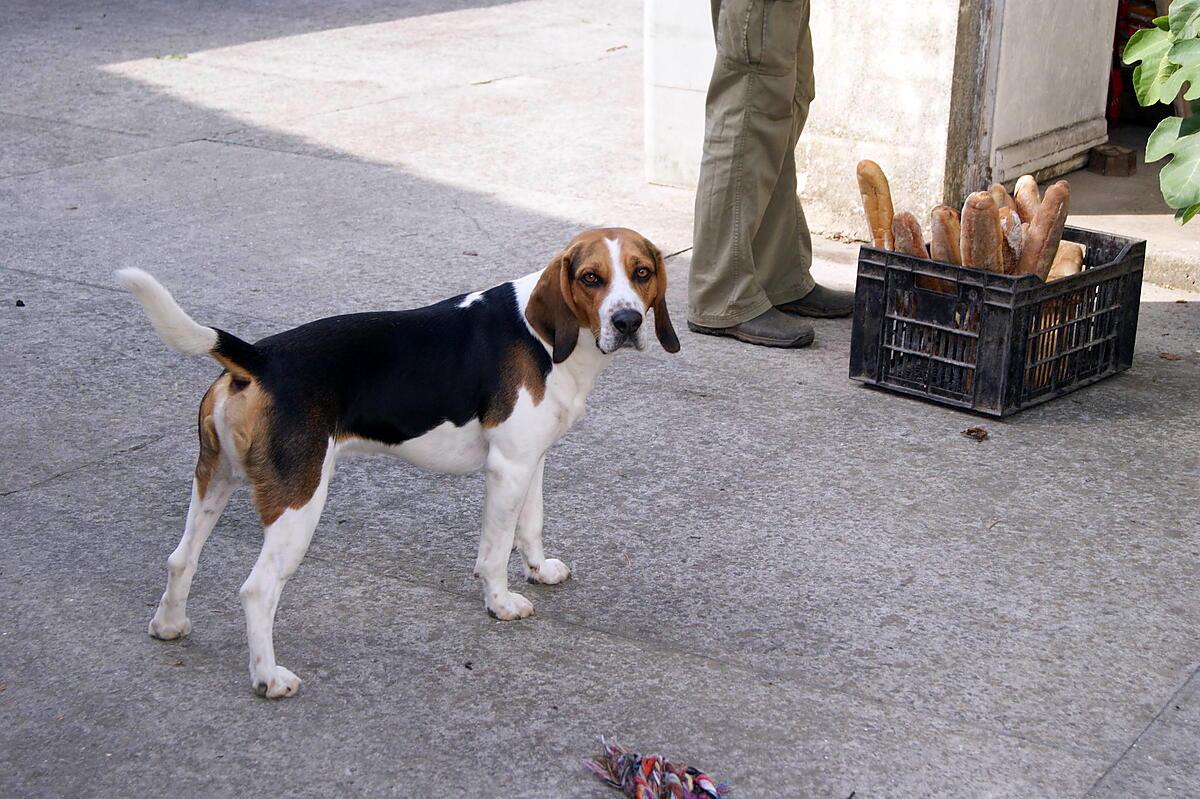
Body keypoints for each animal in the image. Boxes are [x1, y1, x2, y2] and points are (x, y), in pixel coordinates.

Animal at [121, 225, 681, 695]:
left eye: (641, 272)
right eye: (591, 278)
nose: (627, 322)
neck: (545, 337)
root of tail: (259, 359)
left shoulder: (531, 460)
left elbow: (532, 526)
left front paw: (540, 571)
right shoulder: (508, 469)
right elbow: (495, 552)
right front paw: (500, 604)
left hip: (213, 481)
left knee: (181, 558)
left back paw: (169, 625)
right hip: (299, 503)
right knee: (257, 591)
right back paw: (269, 678)